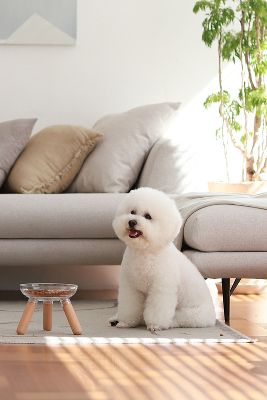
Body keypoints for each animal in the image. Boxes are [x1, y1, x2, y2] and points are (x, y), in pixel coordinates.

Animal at [110, 188, 217, 332]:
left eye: (148, 216)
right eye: (132, 212)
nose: (132, 222)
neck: (145, 251)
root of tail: (212, 316)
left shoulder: (160, 288)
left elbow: (158, 309)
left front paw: (155, 325)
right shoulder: (130, 287)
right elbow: (130, 306)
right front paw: (125, 322)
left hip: (191, 315)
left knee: (177, 319)